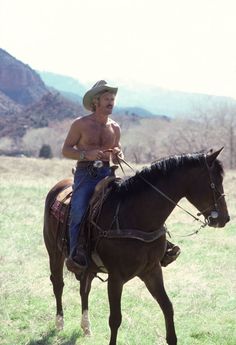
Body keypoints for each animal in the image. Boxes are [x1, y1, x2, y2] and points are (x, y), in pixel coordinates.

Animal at [42, 148, 229, 344]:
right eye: (214, 182)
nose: (225, 218)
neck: (136, 216)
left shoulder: (152, 271)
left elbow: (168, 307)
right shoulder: (116, 278)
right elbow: (115, 319)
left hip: (88, 266)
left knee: (84, 288)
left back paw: (86, 327)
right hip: (54, 253)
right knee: (58, 284)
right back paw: (59, 324)